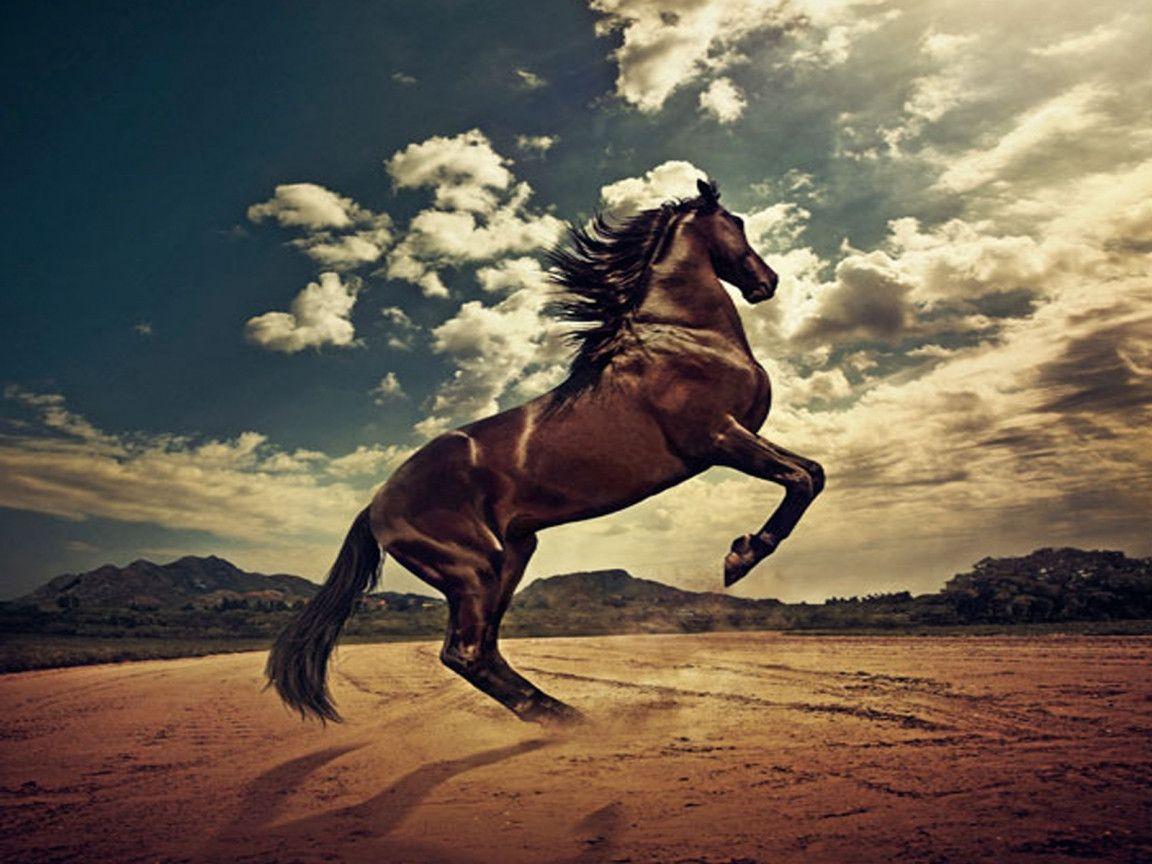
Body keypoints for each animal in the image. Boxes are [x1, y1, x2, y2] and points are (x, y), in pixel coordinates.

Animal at [266, 178, 825, 725]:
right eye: (737, 222)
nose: (768, 282)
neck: (684, 336)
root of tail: (376, 505)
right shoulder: (717, 437)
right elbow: (803, 478)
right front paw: (741, 557)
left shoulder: (731, 437)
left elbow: (811, 474)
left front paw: (743, 549)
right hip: (473, 568)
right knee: (465, 652)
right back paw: (567, 720)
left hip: (512, 554)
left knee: (482, 650)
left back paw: (565, 716)